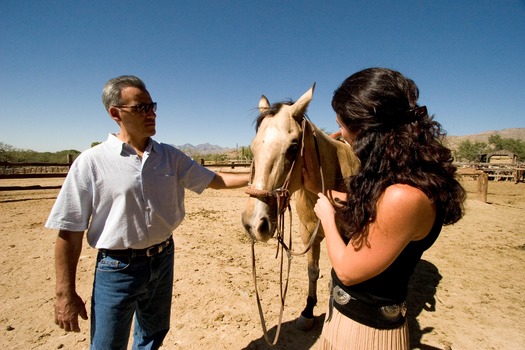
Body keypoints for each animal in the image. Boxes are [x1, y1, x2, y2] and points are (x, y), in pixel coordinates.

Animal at [242, 85, 360, 330]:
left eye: (293, 147)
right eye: (253, 147)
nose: (253, 224)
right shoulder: (308, 233)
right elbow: (312, 271)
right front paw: (308, 310)